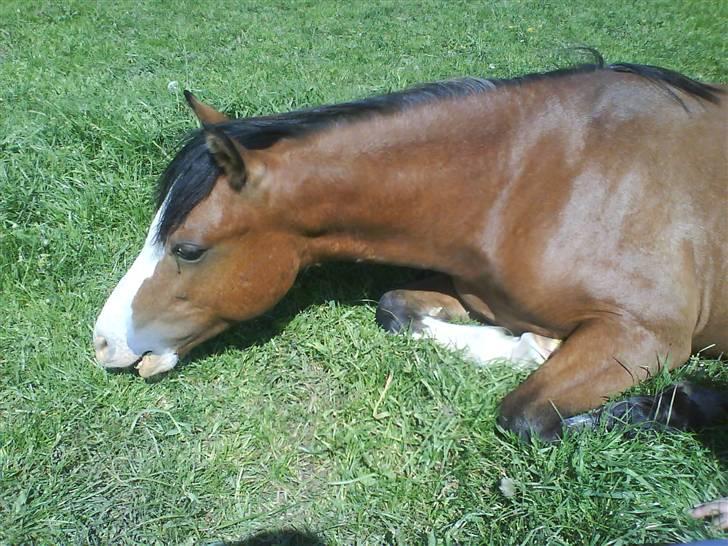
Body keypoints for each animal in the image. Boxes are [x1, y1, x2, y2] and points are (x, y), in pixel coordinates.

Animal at [94, 56, 724, 442]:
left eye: (188, 249)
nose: (103, 343)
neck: (535, 181)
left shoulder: (645, 335)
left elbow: (524, 416)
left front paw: (682, 403)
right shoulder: (472, 291)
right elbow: (394, 307)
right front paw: (522, 346)